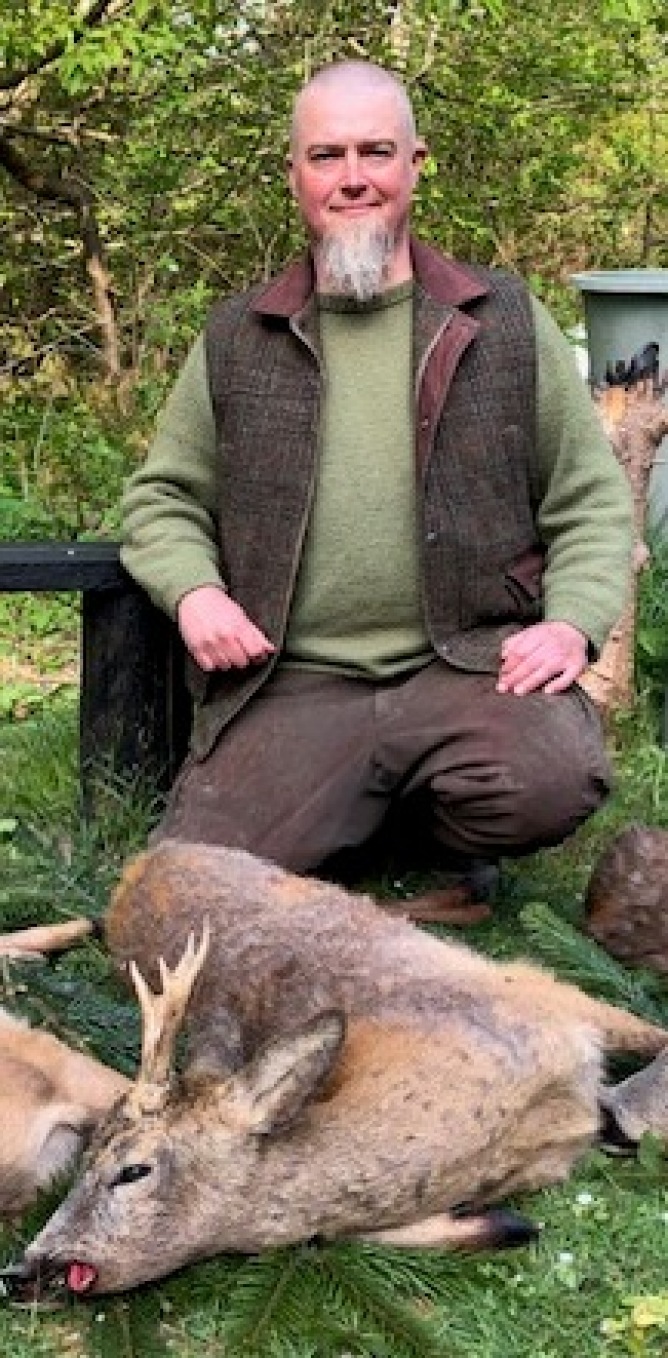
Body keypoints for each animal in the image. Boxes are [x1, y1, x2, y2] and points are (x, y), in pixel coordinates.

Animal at [0, 838, 665, 1300]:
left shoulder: (539, 993)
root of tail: (142, 862)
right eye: (84, 1154)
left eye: (131, 1170)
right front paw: (508, 1220)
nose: (24, 1266)